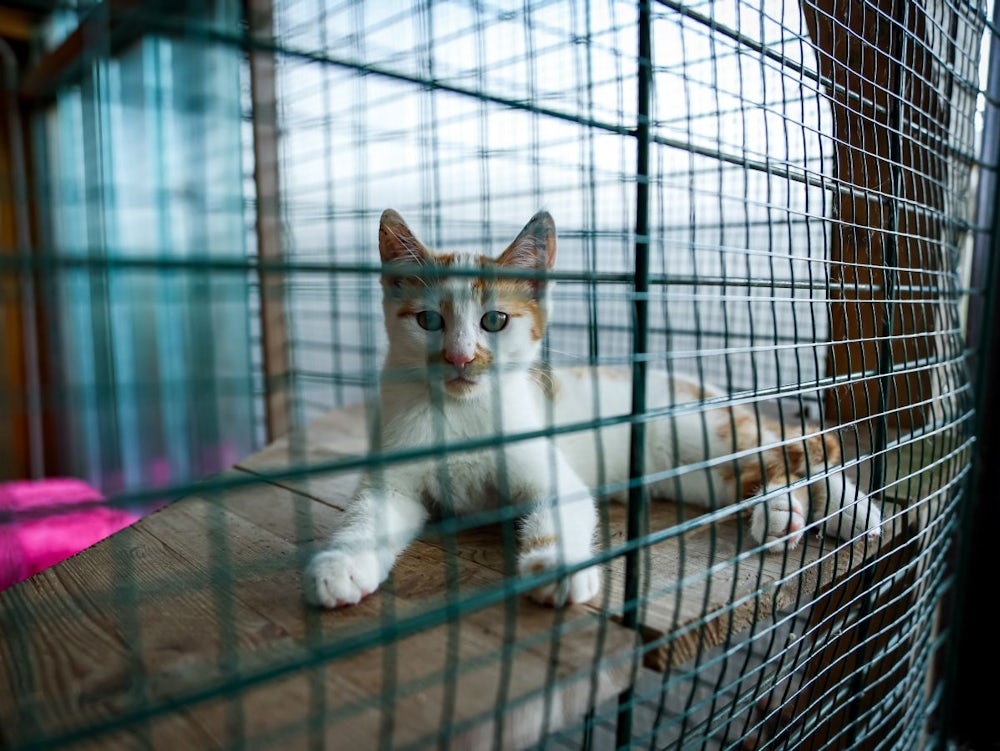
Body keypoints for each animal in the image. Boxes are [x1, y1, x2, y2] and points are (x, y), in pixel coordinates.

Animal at [300, 209, 880, 608]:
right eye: (428, 320)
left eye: (494, 321)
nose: (461, 358)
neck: (462, 412)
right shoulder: (393, 475)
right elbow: (367, 515)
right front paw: (342, 565)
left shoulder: (547, 469)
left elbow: (559, 508)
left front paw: (557, 564)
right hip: (692, 474)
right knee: (768, 467)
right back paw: (799, 513)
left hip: (704, 428)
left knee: (795, 450)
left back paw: (843, 512)